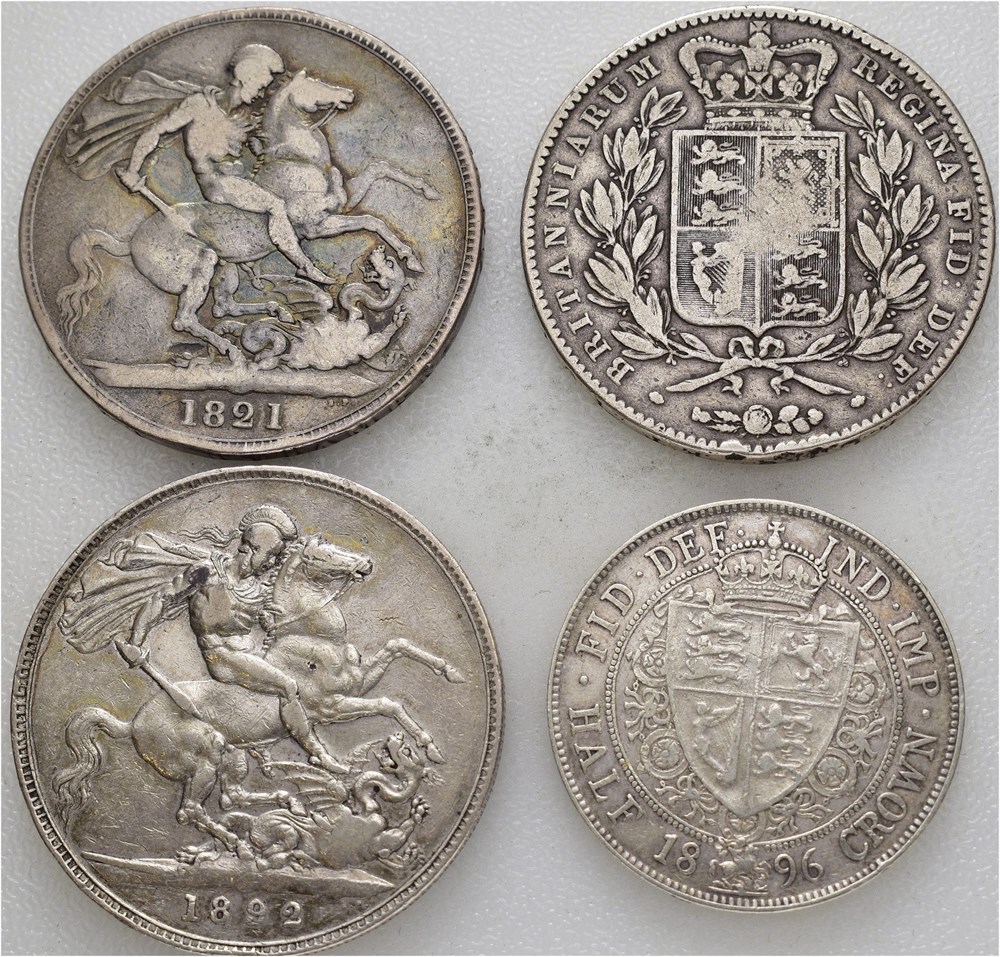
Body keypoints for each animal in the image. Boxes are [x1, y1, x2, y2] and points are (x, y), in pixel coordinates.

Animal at [52, 534, 465, 861]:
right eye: (322, 553)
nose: (365, 564)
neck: (309, 635)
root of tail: (132, 723)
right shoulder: (331, 707)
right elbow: (387, 704)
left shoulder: (359, 682)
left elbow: (398, 646)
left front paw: (450, 673)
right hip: (206, 755)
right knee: (190, 811)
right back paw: (241, 843)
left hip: (230, 755)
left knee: (230, 797)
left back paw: (284, 800)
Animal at [55, 70, 437, 359]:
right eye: (315, 84)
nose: (347, 94)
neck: (298, 160)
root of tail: (130, 240)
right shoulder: (317, 226)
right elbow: (372, 220)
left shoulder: (342, 202)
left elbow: (379, 170)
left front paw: (426, 193)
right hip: (202, 264)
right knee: (185, 320)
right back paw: (232, 347)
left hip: (225, 270)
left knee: (222, 307)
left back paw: (276, 310)